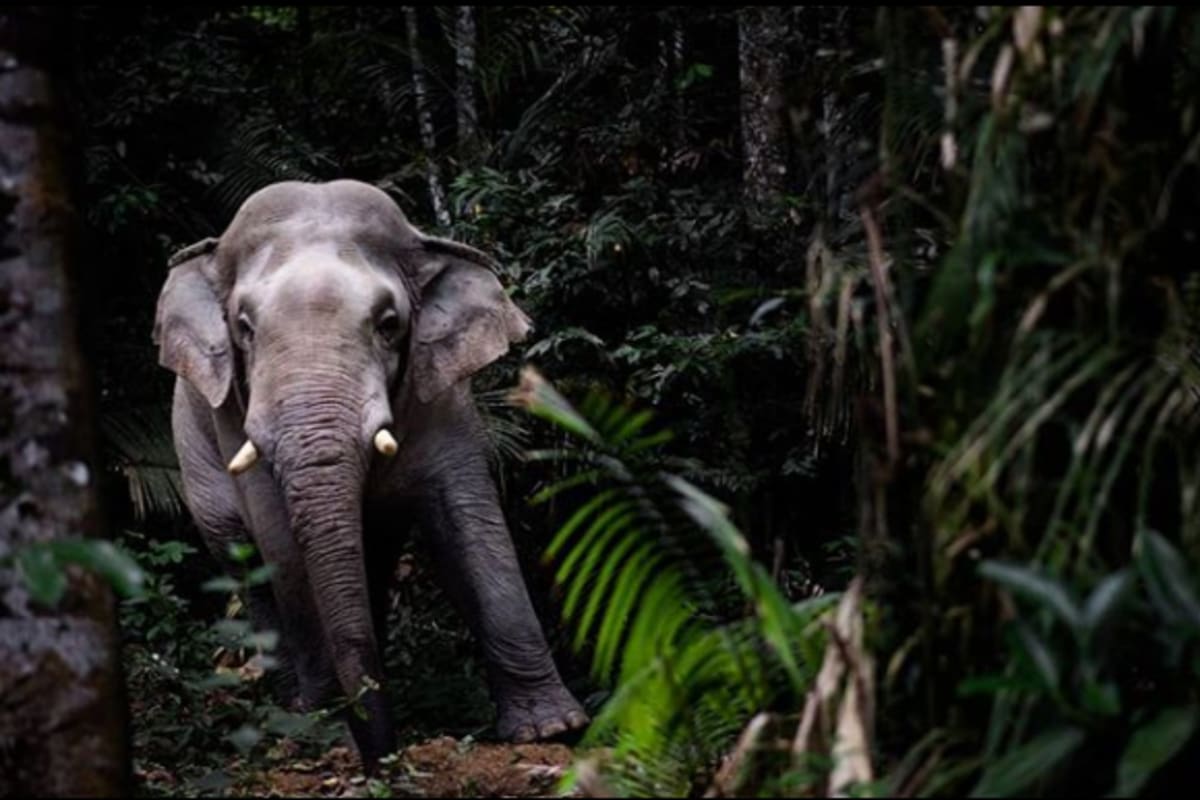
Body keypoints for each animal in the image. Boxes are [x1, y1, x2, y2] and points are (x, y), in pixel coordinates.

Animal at [152, 179, 588, 770]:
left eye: (389, 325)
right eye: (244, 328)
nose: (385, 755)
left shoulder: (443, 394)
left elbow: (470, 519)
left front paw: (551, 731)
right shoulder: (230, 415)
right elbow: (279, 541)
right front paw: (330, 739)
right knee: (246, 564)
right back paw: (293, 719)